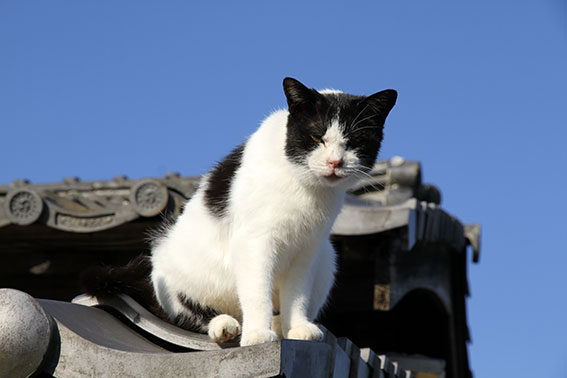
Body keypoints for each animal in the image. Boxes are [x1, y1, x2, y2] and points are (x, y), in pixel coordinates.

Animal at [82, 77, 398, 346]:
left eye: (353, 142)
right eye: (316, 137)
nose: (334, 162)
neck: (305, 188)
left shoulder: (308, 249)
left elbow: (297, 294)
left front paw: (297, 327)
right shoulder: (255, 242)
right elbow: (257, 292)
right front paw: (257, 334)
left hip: (327, 257)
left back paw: (280, 324)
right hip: (169, 269)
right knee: (186, 314)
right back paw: (225, 325)